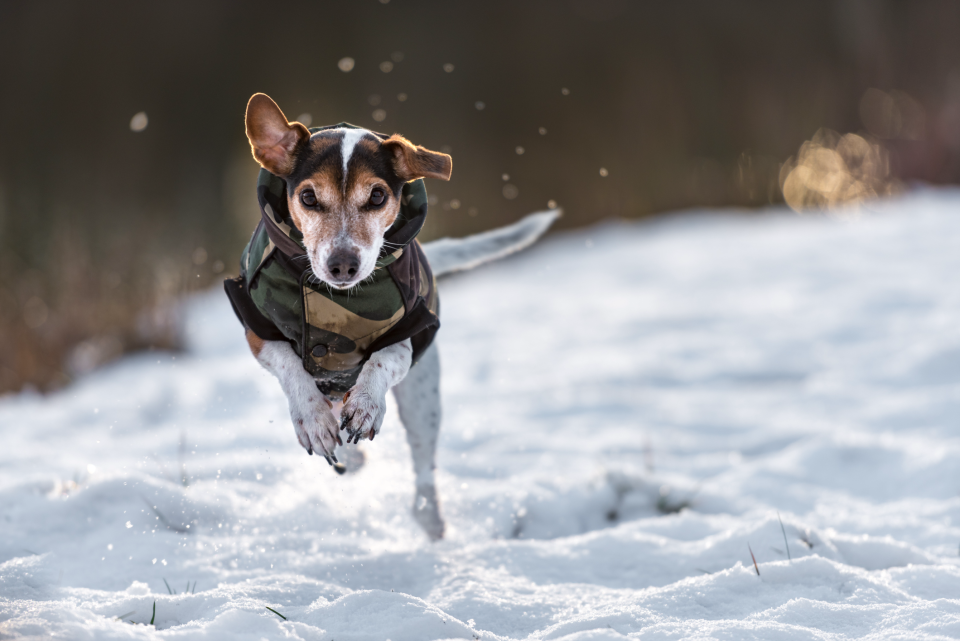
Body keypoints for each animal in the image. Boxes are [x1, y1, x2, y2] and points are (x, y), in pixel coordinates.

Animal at [227, 92, 556, 536]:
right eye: (309, 198)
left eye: (378, 196)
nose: (343, 265)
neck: (337, 301)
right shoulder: (258, 330)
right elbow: (291, 367)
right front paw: (312, 418)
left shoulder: (411, 332)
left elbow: (382, 359)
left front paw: (367, 403)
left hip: (422, 398)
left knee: (423, 465)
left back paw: (429, 518)